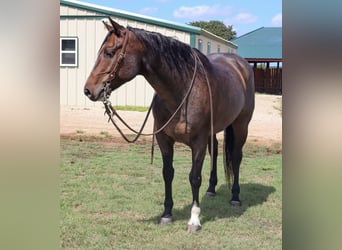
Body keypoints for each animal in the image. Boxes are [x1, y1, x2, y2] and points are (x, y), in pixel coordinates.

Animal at [83, 17, 254, 232]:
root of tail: (240, 64)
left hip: (241, 126)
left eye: (109, 52)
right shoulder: (164, 139)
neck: (181, 90)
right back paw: (211, 189)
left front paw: (194, 219)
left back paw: (235, 197)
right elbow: (167, 173)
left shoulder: (198, 142)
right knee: (214, 153)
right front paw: (166, 214)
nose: (88, 90)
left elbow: (194, 177)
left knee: (237, 157)